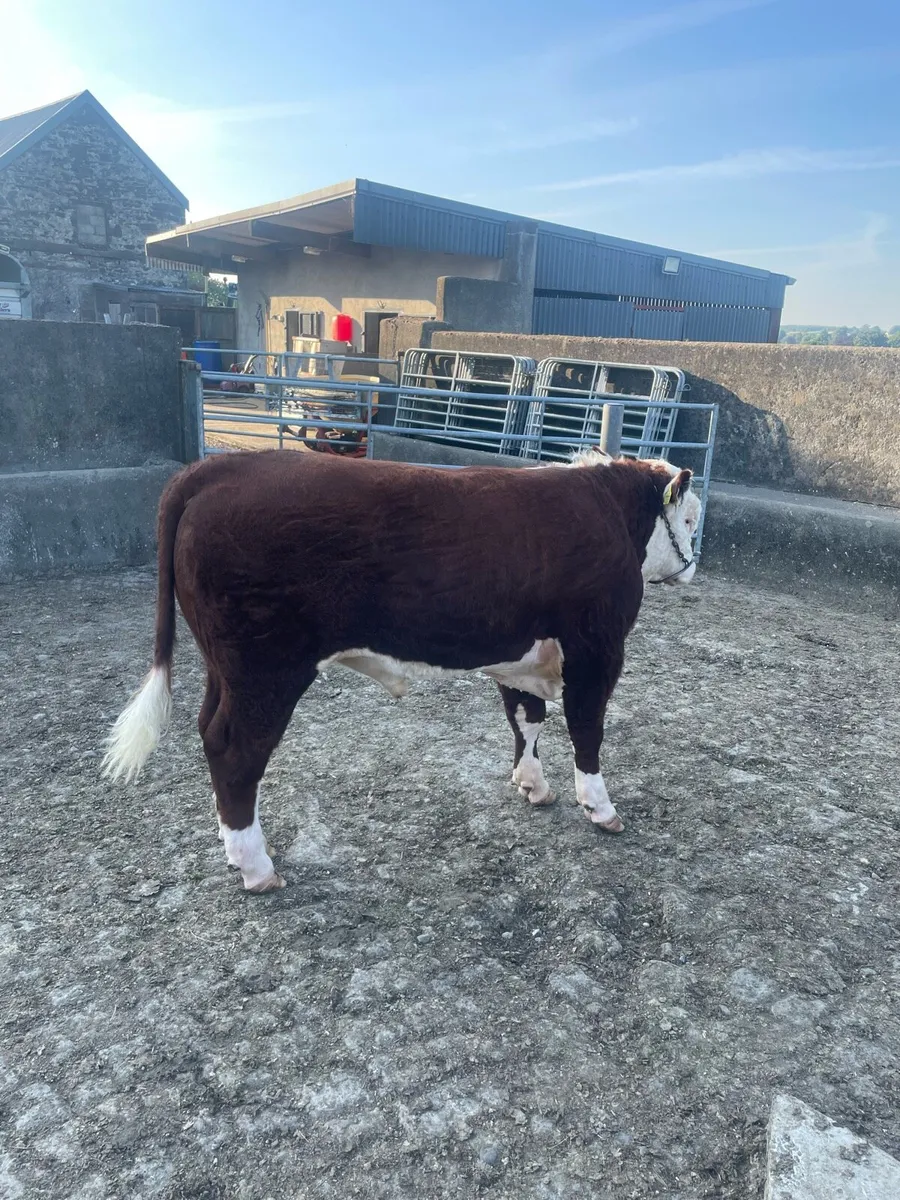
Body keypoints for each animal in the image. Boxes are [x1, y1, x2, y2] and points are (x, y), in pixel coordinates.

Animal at [102, 448, 700, 893]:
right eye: (691, 520)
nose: (693, 565)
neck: (610, 513)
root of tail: (216, 468)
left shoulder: (521, 653)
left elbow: (526, 719)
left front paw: (533, 785)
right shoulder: (597, 650)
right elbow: (587, 730)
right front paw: (600, 807)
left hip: (224, 666)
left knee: (208, 729)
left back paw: (232, 845)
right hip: (265, 667)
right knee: (234, 748)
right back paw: (256, 866)